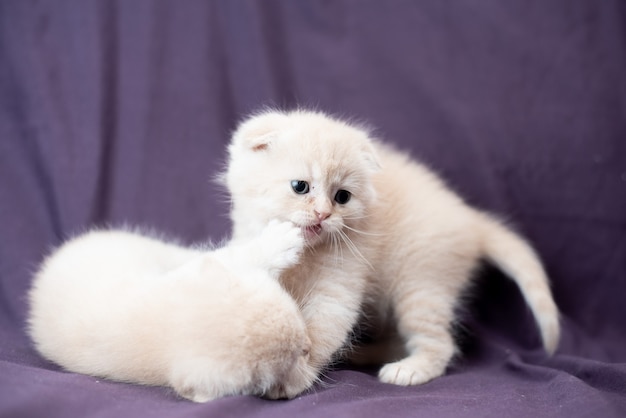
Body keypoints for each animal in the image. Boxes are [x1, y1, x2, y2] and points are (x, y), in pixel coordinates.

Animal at [28, 222, 312, 402]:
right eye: (293, 359)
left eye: (299, 318)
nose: (309, 345)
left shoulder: (187, 272)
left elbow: (233, 256)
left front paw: (278, 241)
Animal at [224, 109, 560, 394]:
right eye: (300, 186)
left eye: (342, 197)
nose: (323, 214)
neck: (306, 253)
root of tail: (471, 219)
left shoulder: (338, 288)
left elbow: (320, 332)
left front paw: (294, 378)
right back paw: (363, 354)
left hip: (421, 287)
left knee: (440, 343)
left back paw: (408, 370)